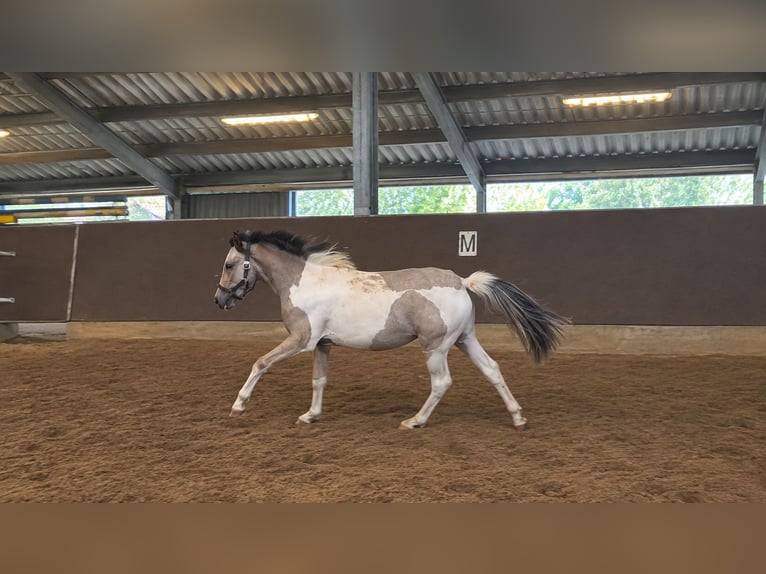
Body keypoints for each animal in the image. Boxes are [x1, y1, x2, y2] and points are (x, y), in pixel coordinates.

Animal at [213, 230, 568, 430]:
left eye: (229, 264)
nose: (219, 299)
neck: (305, 282)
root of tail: (461, 281)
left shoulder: (302, 340)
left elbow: (261, 362)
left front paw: (238, 406)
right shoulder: (322, 344)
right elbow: (319, 381)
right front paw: (310, 416)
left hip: (435, 347)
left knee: (441, 383)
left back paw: (415, 421)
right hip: (465, 340)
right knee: (493, 370)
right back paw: (518, 417)